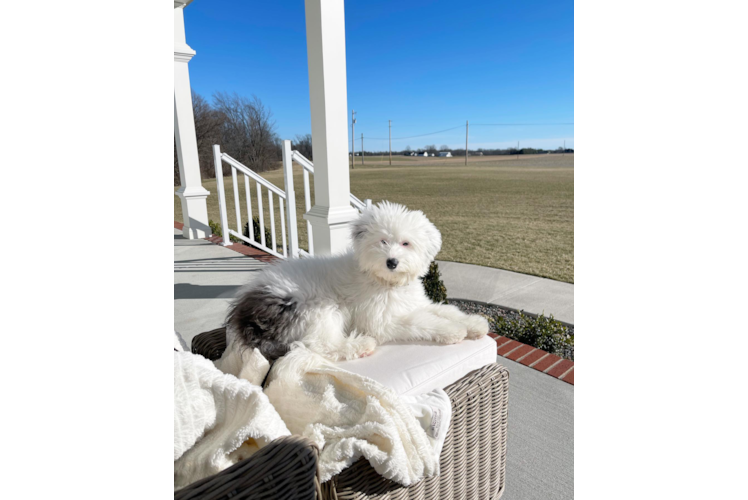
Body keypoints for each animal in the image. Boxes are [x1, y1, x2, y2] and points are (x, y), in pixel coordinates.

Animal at [225, 201, 488, 362]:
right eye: (382, 241)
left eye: (406, 243)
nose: (392, 262)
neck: (384, 282)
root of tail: (245, 317)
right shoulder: (381, 321)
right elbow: (422, 322)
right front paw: (453, 331)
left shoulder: (416, 303)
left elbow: (445, 310)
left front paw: (474, 324)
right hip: (315, 309)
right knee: (317, 345)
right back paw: (361, 345)